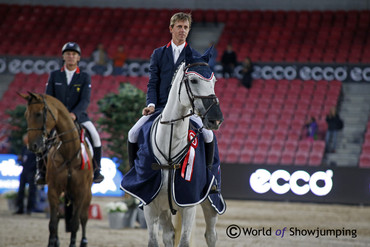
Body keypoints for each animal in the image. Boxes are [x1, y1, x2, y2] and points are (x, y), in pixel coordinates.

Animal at [20, 92, 93, 247]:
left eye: (39, 114)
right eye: (26, 115)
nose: (33, 146)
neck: (69, 152)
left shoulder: (81, 191)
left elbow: (75, 223)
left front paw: (73, 243)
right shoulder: (53, 190)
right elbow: (53, 222)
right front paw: (52, 242)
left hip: (87, 192)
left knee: (83, 217)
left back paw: (83, 241)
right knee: (59, 216)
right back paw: (56, 241)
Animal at [146, 52, 224, 245]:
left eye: (214, 81)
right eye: (194, 80)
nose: (216, 119)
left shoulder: (189, 204)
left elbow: (185, 242)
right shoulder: (150, 205)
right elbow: (154, 241)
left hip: (211, 201)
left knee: (211, 235)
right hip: (164, 208)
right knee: (168, 234)